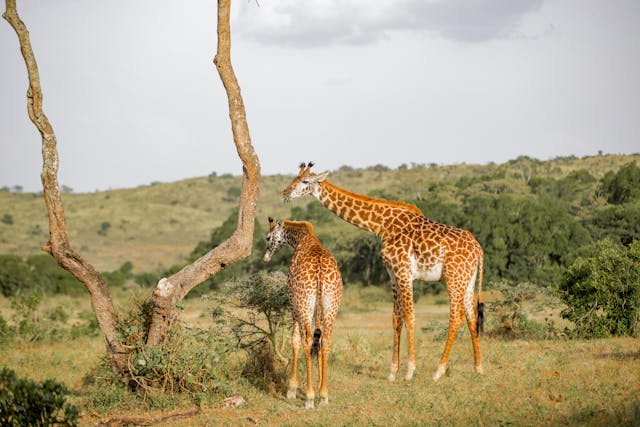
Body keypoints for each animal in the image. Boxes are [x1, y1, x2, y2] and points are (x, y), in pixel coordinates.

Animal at [262, 217, 343, 408]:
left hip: (304, 304)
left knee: (306, 340)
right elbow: (317, 342)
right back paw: (323, 395)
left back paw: (309, 397)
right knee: (325, 340)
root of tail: (320, 271)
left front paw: (291, 389)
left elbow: (295, 340)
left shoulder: (293, 303)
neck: (300, 239)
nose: (265, 258)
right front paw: (321, 389)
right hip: (331, 305)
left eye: (268, 238)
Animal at [281, 162, 484, 382]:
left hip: (453, 278)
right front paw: (392, 371)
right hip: (468, 280)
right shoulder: (392, 273)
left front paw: (410, 370)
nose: (285, 193)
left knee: (456, 316)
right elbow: (396, 318)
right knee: (471, 315)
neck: (382, 225)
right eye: (294, 178)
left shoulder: (404, 271)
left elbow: (410, 316)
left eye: (305, 181)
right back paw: (478, 367)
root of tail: (478, 249)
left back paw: (439, 370)